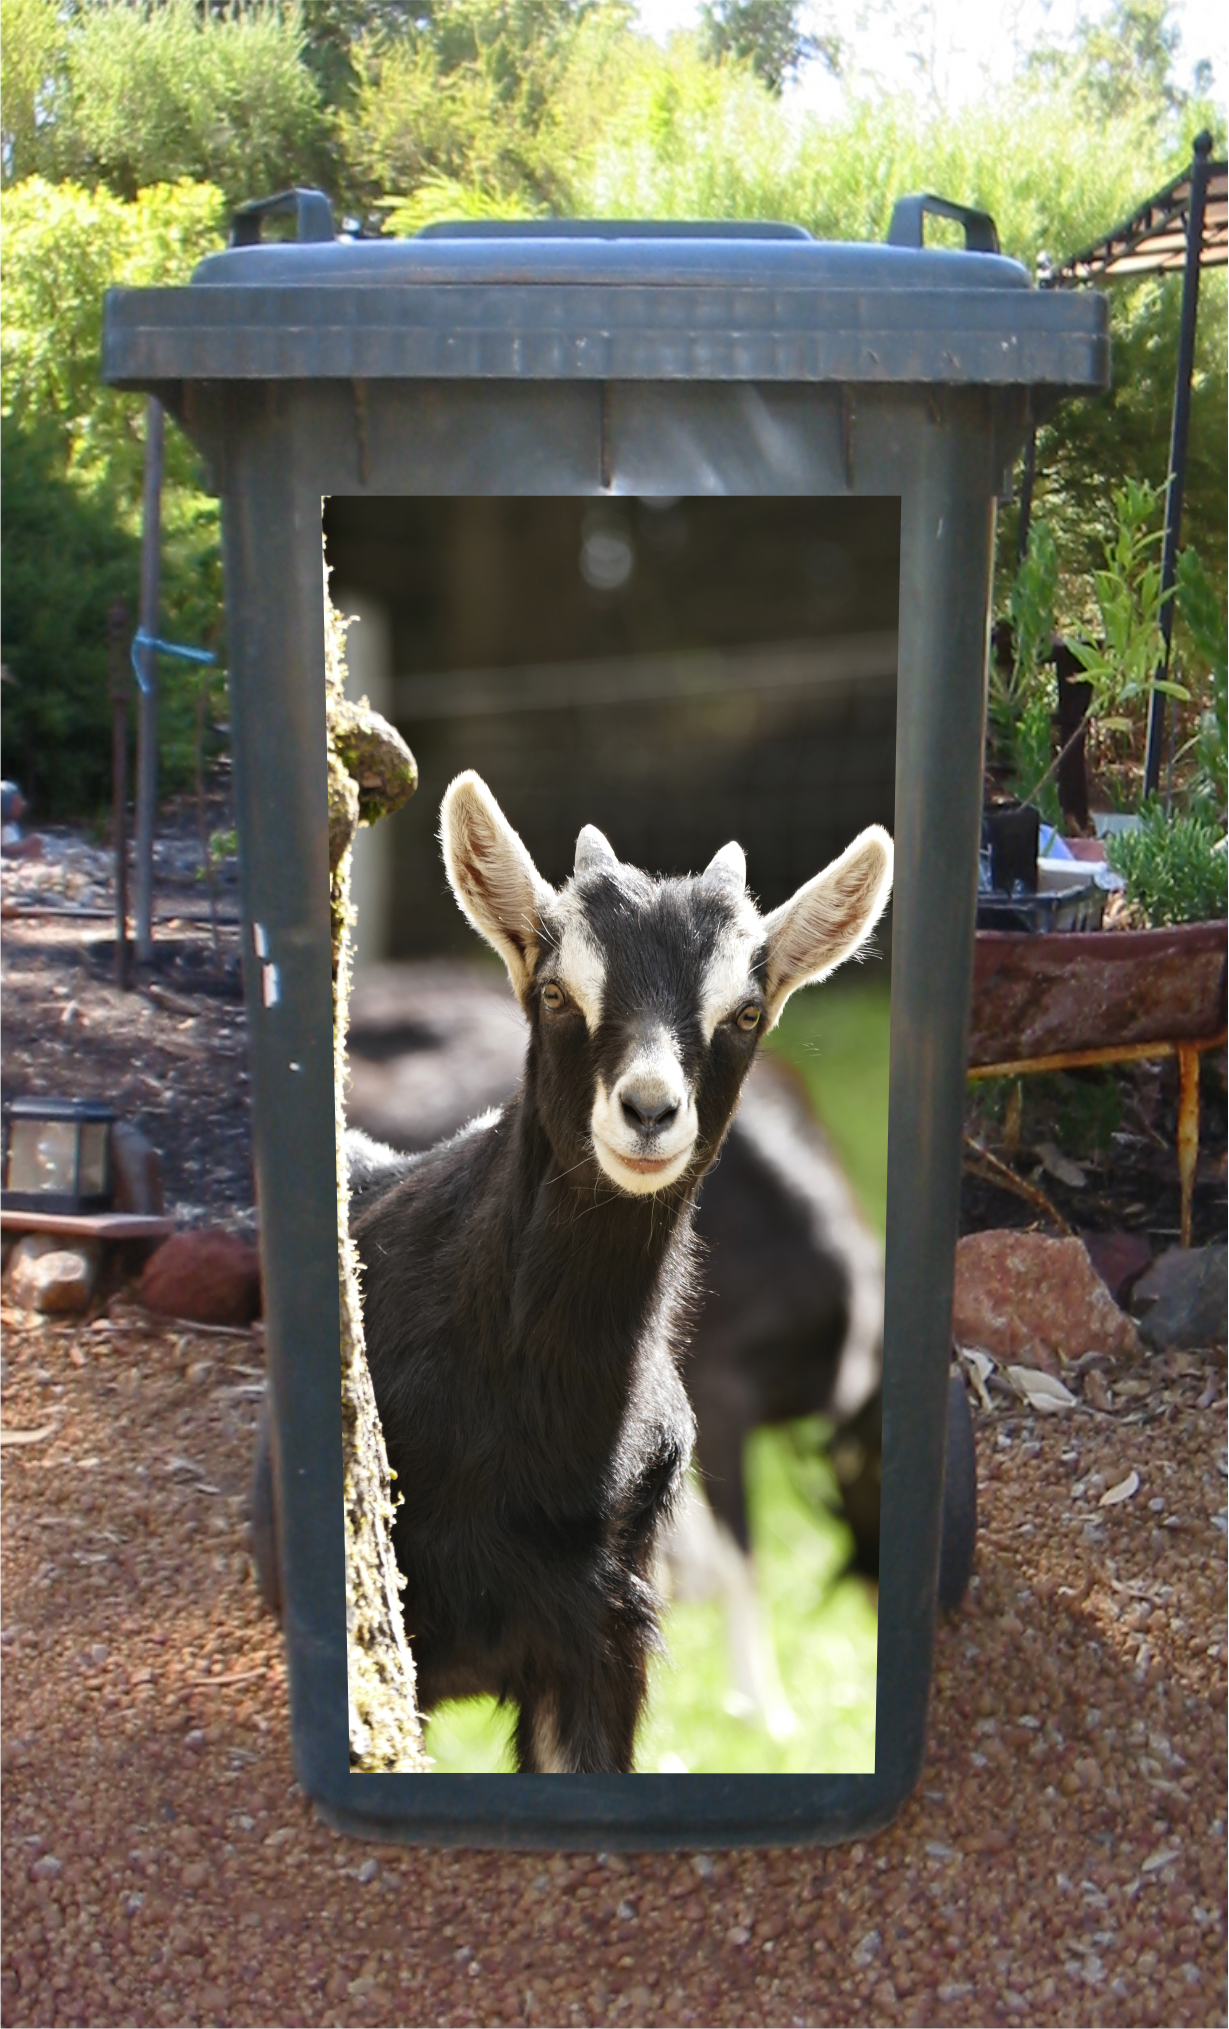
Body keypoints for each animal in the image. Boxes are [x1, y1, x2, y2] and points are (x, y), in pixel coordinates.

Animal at [347, 773, 892, 1772]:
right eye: (557, 991)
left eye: (745, 1010)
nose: (648, 1109)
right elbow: (743, 1547)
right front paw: (767, 1711)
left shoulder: (595, 1640)